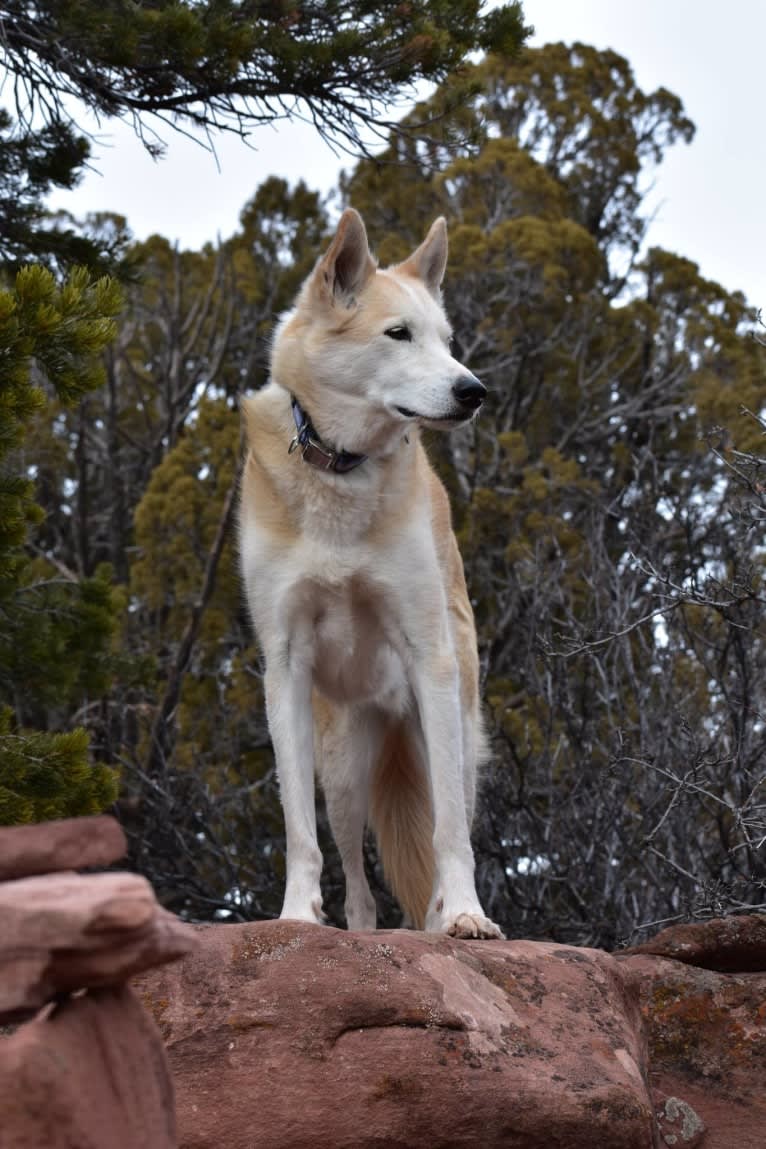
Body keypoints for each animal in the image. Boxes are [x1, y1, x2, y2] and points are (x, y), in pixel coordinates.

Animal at [240, 211, 503, 937]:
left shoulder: (430, 656)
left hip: (453, 728)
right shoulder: (286, 665)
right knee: (357, 880)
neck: (342, 468)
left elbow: (450, 834)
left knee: (448, 816)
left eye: (447, 341)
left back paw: (441, 919)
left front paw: (465, 915)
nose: (474, 391)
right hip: (343, 772)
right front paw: (296, 916)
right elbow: (299, 833)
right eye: (398, 334)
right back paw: (357, 931)